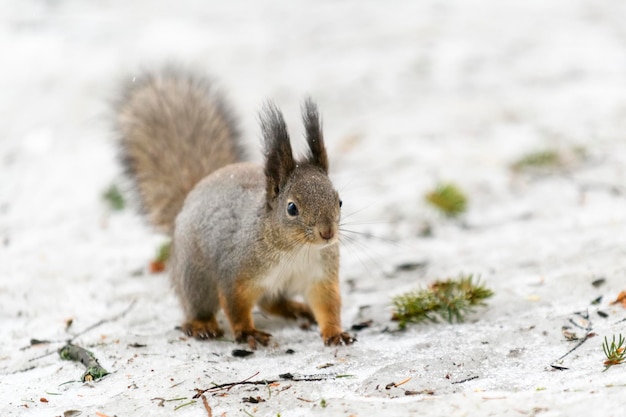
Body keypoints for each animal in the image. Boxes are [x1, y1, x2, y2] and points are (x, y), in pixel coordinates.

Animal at [114, 69, 354, 348]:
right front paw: (247, 331)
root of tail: (189, 199)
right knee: (199, 304)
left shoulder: (321, 275)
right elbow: (235, 304)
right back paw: (202, 325)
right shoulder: (235, 271)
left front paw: (335, 332)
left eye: (339, 201)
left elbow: (328, 304)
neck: (297, 250)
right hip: (195, 277)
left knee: (271, 302)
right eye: (292, 208)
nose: (327, 233)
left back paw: (295, 308)